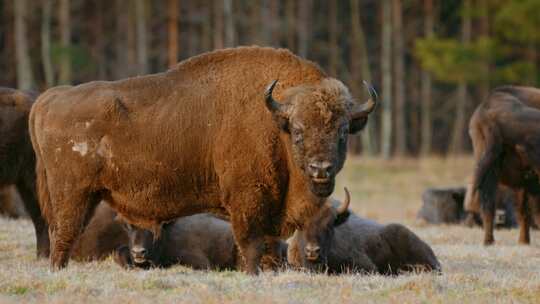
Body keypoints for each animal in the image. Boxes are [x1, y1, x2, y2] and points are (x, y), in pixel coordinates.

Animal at [29, 47, 376, 274]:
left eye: (342, 132)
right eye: (299, 131)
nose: (321, 169)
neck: (275, 121)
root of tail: (50, 98)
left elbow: (268, 248)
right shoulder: (247, 205)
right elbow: (251, 247)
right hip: (73, 195)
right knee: (64, 235)